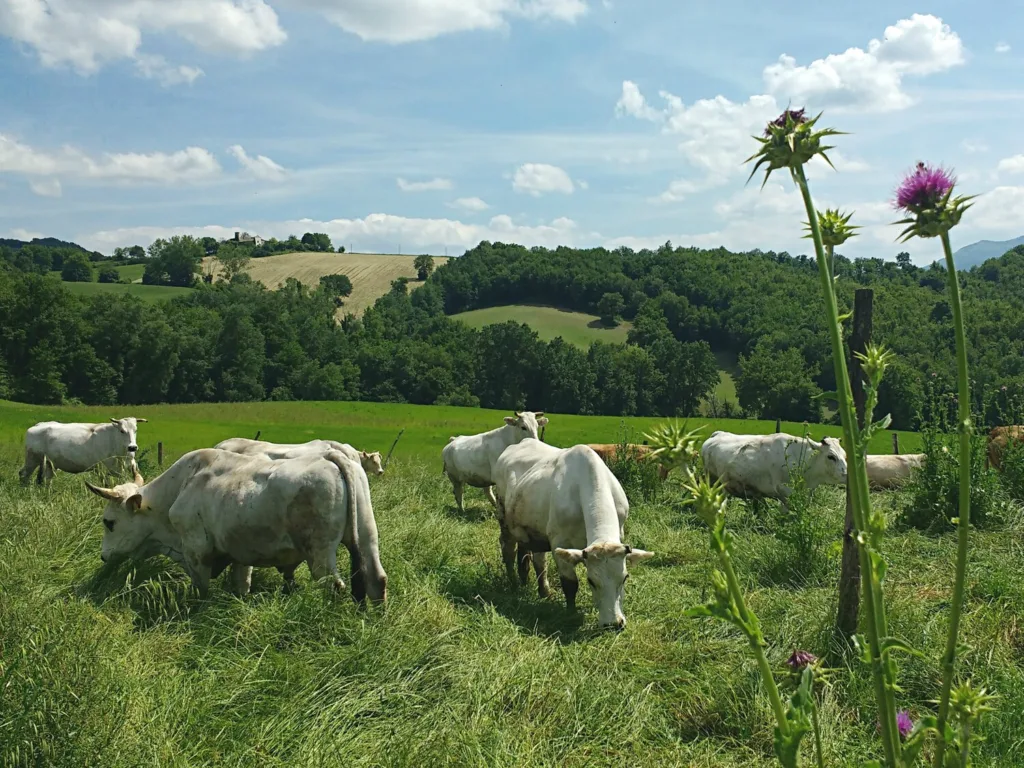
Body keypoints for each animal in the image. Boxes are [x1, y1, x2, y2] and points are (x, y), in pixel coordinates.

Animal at [19, 421, 148, 487]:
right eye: (122, 431)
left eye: (135, 430)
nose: (133, 447)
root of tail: (37, 425)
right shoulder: (102, 469)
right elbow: (107, 486)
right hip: (32, 458)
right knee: (23, 474)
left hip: (49, 464)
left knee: (47, 479)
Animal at [83, 448, 385, 606]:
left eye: (109, 522)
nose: (104, 556)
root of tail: (332, 456)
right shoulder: (240, 553)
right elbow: (242, 584)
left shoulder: (196, 552)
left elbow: (201, 591)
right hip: (367, 536)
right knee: (377, 579)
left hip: (320, 554)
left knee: (334, 586)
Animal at [491, 438, 651, 630]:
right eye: (591, 581)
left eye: (625, 578)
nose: (613, 624)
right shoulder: (559, 542)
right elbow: (570, 584)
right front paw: (571, 613)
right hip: (504, 519)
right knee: (508, 549)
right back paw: (514, 583)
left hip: (531, 529)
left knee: (534, 558)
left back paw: (540, 589)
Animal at [704, 434, 847, 512]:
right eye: (831, 456)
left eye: (845, 455)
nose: (846, 475)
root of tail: (717, 434)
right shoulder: (784, 490)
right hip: (712, 481)